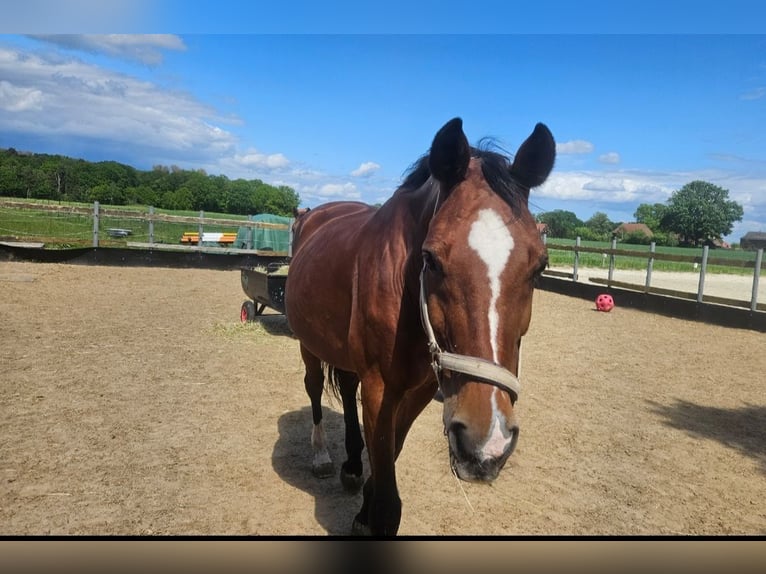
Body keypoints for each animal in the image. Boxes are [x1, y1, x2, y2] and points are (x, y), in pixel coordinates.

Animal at [284, 119, 556, 536]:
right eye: (431, 259)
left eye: (540, 266)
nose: (486, 442)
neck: (406, 292)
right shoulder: (380, 389)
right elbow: (388, 505)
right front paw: (370, 513)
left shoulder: (421, 390)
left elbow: (388, 456)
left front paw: (364, 506)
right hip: (308, 344)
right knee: (314, 388)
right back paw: (322, 457)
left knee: (345, 387)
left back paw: (351, 465)